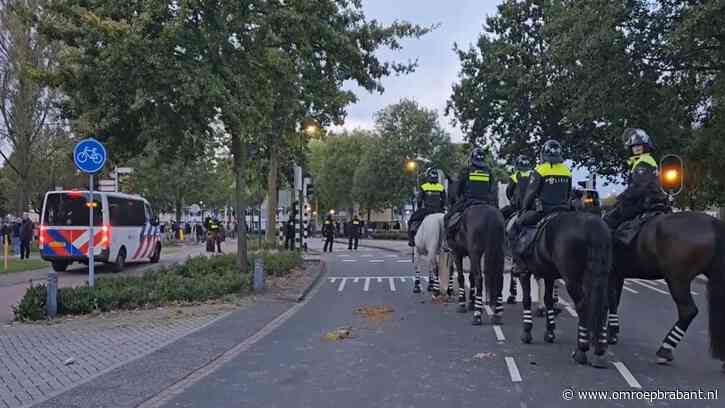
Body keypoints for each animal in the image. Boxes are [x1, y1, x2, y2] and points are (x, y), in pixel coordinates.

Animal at [516, 212, 612, 368]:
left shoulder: (524, 272)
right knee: (602, 306)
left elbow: (527, 300)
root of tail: (593, 226)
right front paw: (549, 332)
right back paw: (599, 351)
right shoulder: (548, 274)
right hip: (601, 276)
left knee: (582, 306)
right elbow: (548, 299)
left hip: (572, 278)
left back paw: (581, 351)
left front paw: (527, 332)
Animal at [604, 212, 724, 372]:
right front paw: (612, 332)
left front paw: (610, 334)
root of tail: (712, 223)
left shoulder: (611, 273)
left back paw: (665, 350)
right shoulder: (617, 274)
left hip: (677, 278)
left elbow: (611, 301)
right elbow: (615, 301)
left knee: (688, 311)